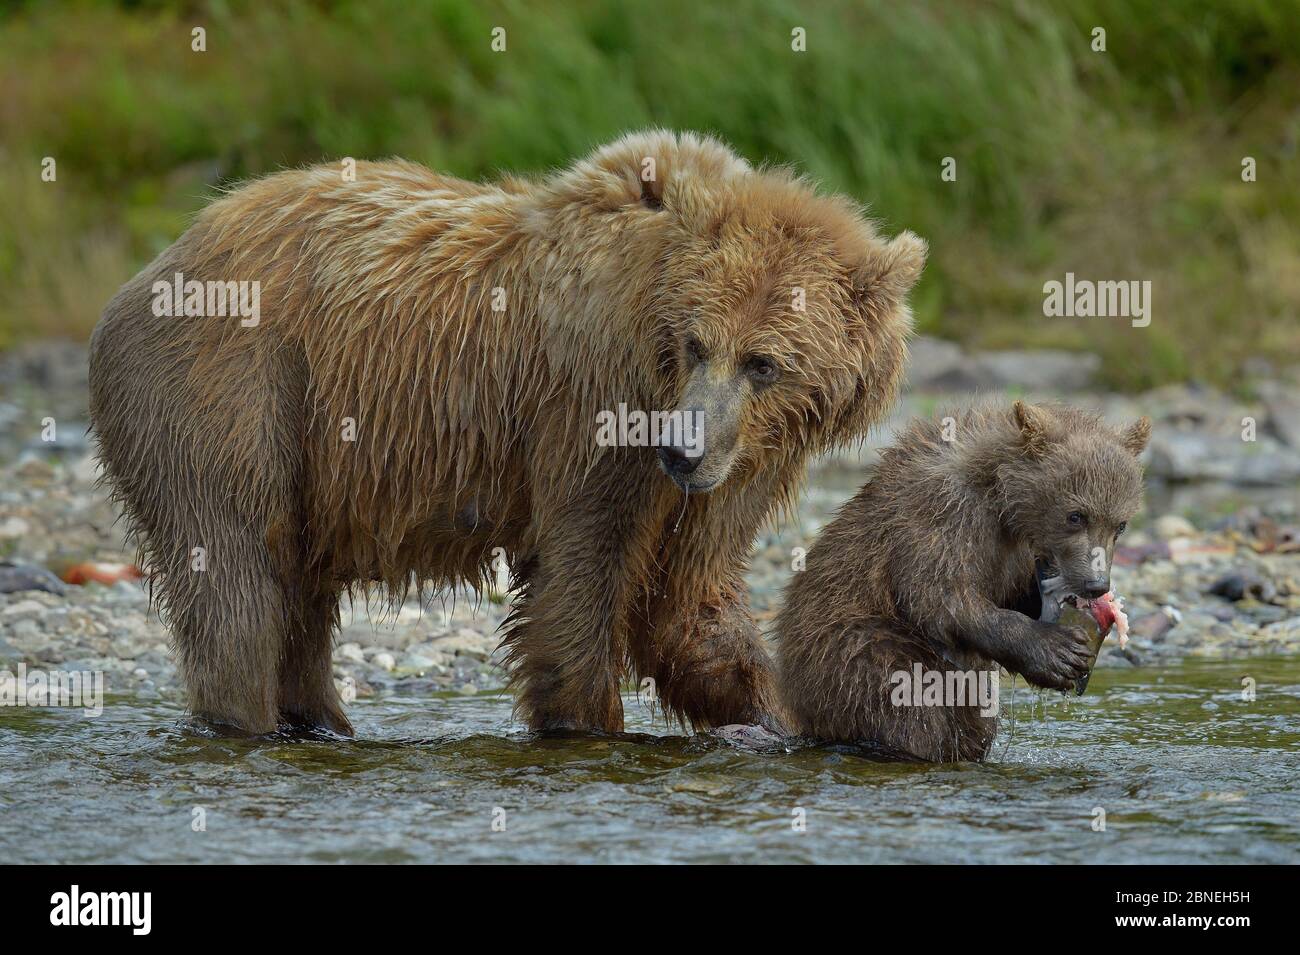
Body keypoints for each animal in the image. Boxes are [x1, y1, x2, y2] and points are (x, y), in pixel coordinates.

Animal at [88, 130, 927, 737]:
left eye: (765, 363)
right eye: (697, 343)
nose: (680, 448)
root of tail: (155, 264)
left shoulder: (743, 459)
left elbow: (690, 598)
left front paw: (788, 716)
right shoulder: (594, 401)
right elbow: (583, 572)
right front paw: (588, 721)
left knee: (298, 591)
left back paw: (319, 720)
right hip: (233, 384)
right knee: (236, 571)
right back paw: (247, 717)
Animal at [775, 400, 1150, 762]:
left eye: (1120, 525)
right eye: (1076, 515)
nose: (1097, 584)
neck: (1001, 501)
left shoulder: (1015, 553)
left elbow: (1011, 594)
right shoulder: (943, 515)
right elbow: (942, 598)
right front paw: (1058, 651)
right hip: (849, 645)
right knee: (904, 700)